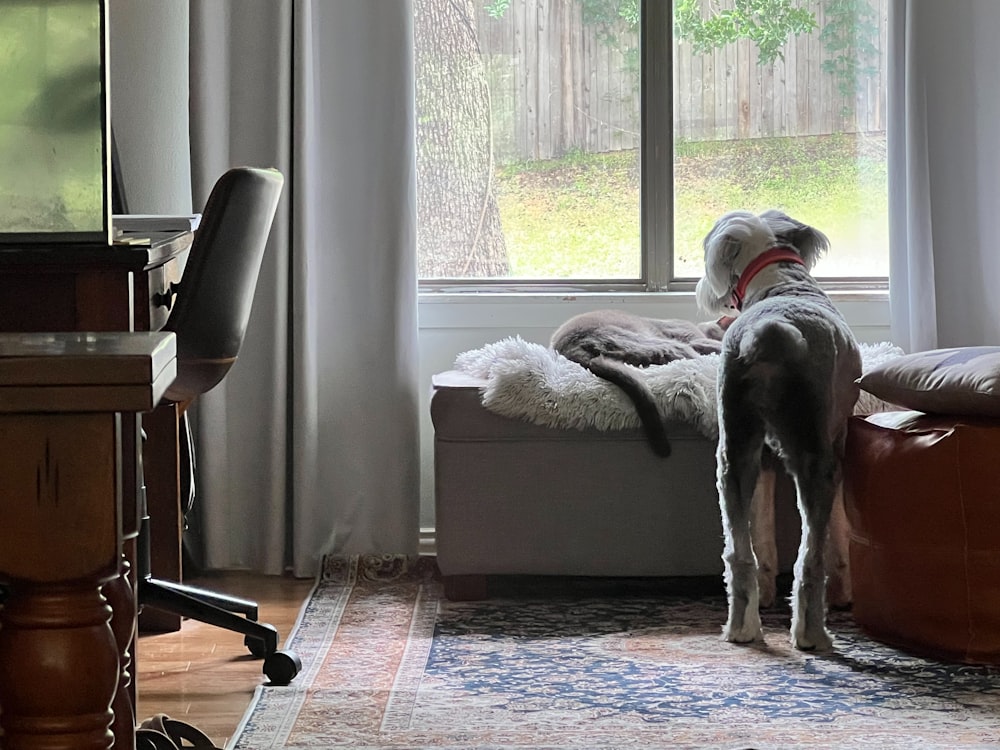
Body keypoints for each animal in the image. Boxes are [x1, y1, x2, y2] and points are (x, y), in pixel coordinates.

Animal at [696, 207, 860, 652]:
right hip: (815, 459)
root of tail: (769, 331)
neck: (780, 282)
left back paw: (742, 629)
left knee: (739, 554)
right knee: (810, 558)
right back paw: (812, 635)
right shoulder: (838, 439)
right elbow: (837, 531)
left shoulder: (764, 458)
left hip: (733, 455)